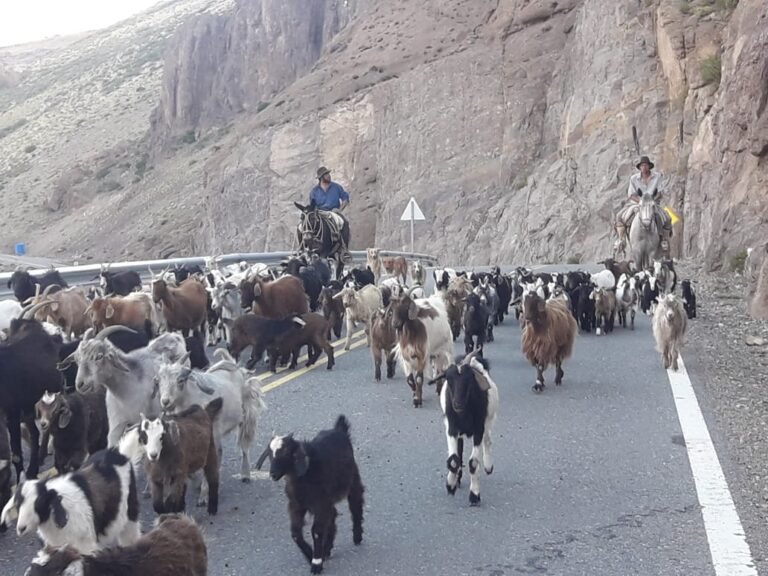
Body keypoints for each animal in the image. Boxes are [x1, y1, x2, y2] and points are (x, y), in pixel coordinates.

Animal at [0, 446, 140, 552]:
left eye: (39, 502)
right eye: (17, 504)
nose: (21, 528)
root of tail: (119, 454)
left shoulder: (86, 547)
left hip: (130, 517)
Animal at [154, 348, 266, 484]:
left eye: (180, 380)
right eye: (158, 381)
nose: (165, 401)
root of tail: (231, 363)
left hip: (247, 415)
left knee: (244, 444)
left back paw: (245, 475)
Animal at [255, 416, 364, 572]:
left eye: (286, 453)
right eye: (270, 454)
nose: (273, 474)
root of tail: (339, 429)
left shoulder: (319, 504)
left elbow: (316, 532)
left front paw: (316, 564)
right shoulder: (297, 505)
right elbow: (295, 533)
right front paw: (309, 555)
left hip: (352, 479)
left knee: (356, 503)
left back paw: (357, 536)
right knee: (333, 515)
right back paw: (327, 548)